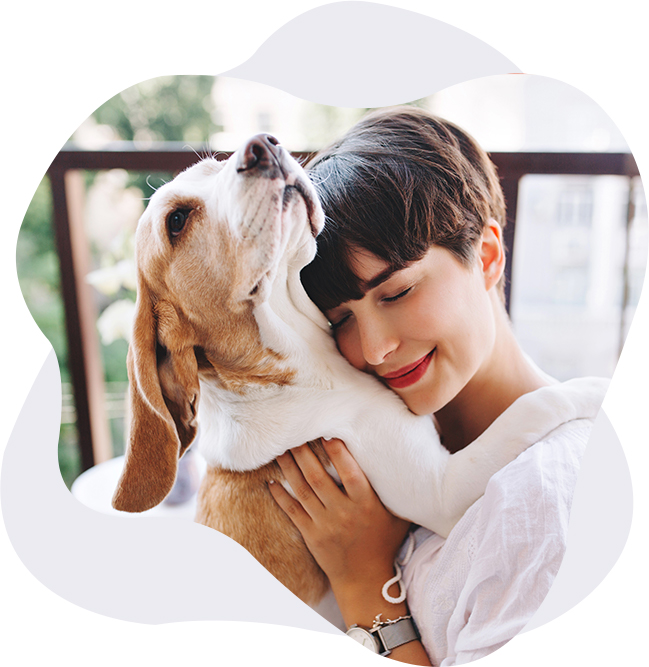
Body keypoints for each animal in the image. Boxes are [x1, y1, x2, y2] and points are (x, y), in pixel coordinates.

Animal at [112, 134, 541, 605]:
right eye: (177, 221)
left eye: (215, 165)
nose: (263, 145)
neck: (305, 370)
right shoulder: (438, 490)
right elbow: (531, 409)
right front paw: (579, 390)